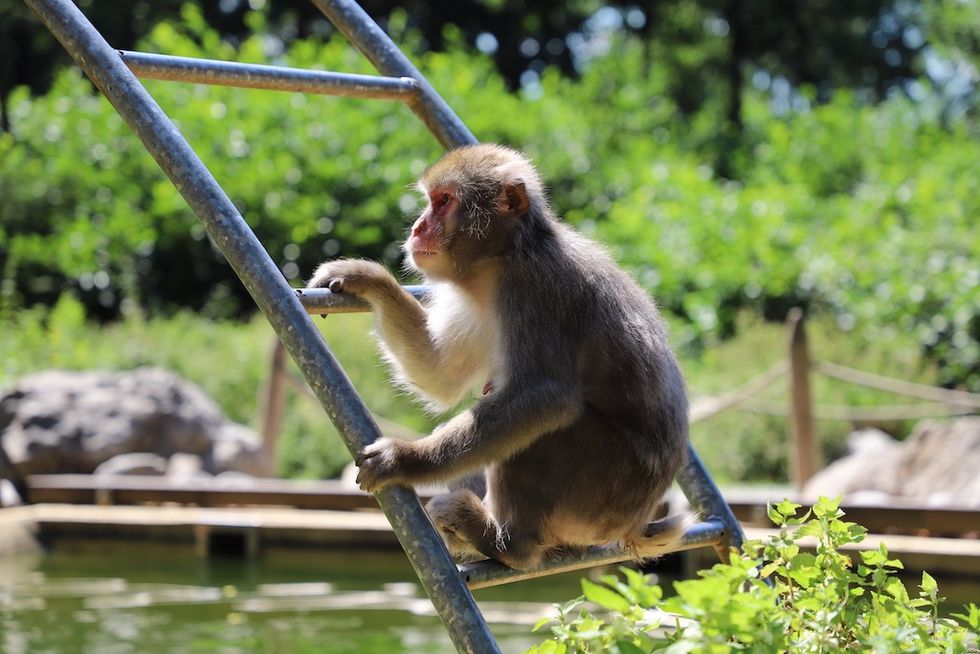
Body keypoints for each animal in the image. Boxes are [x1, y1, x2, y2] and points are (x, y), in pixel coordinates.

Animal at [308, 144, 690, 570]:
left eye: (443, 201)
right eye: (431, 201)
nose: (417, 227)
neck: (504, 256)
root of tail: (635, 524)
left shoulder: (533, 287)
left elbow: (545, 396)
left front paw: (406, 459)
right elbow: (442, 373)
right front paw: (366, 277)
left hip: (605, 491)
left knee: (546, 426)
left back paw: (509, 544)